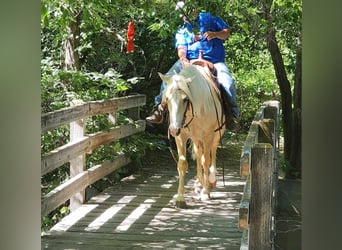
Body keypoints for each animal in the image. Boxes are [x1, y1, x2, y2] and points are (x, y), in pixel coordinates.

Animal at [159, 64, 226, 207]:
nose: (173, 129)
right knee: (199, 153)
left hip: (217, 134)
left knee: (213, 151)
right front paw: (180, 198)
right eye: (167, 98)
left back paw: (211, 180)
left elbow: (206, 161)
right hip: (196, 138)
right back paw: (198, 183)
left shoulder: (208, 135)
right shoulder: (181, 136)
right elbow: (182, 163)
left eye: (185, 99)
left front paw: (206, 192)